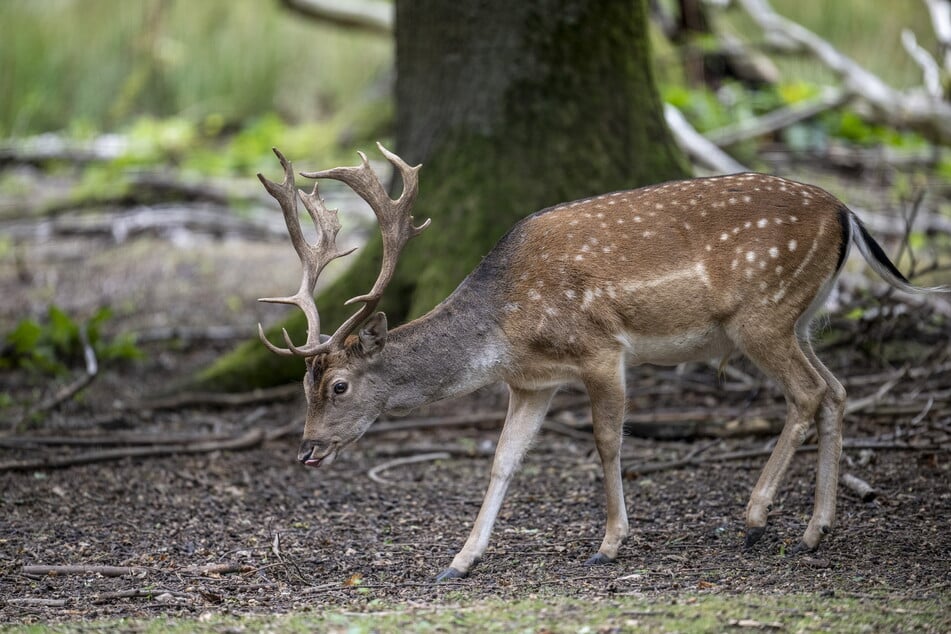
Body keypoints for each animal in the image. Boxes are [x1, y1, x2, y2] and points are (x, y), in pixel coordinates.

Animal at [256, 142, 948, 576]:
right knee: (837, 389)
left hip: (763, 316)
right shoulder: (532, 383)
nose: (307, 449)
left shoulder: (601, 351)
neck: (505, 329)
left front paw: (610, 544)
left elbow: (608, 441)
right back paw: (814, 529)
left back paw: (755, 520)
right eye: (304, 385)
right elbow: (503, 459)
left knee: (807, 394)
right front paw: (459, 561)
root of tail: (847, 212)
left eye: (339, 386)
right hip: (800, 318)